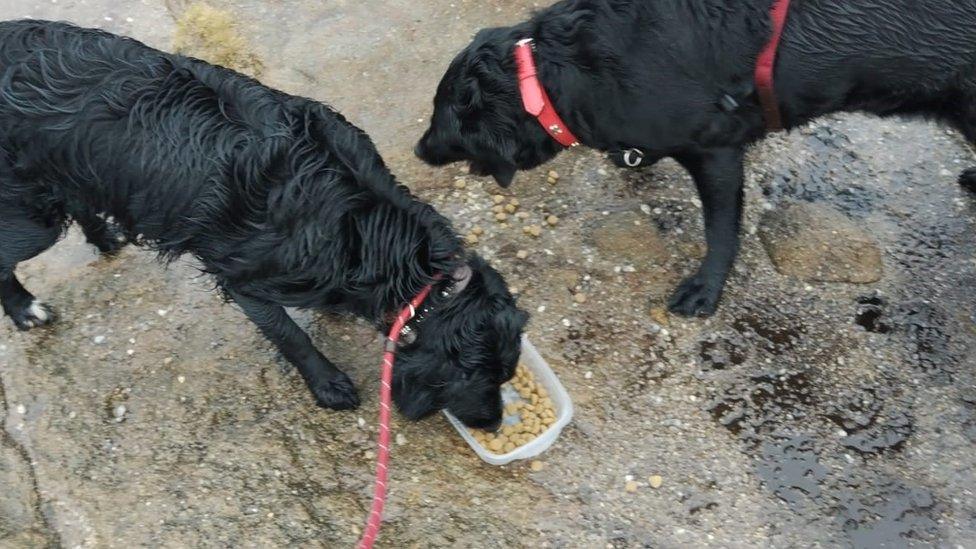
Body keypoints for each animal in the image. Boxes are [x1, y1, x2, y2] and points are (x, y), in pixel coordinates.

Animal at [0, 19, 528, 428]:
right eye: (478, 378)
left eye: (506, 375)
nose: (493, 424)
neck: (363, 224)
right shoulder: (246, 280)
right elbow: (291, 336)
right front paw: (328, 384)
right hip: (31, 217)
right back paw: (26, 310)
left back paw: (105, 236)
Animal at [416, 1, 976, 316]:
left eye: (441, 118)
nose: (418, 150)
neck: (549, 74)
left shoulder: (716, 151)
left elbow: (721, 230)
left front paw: (705, 291)